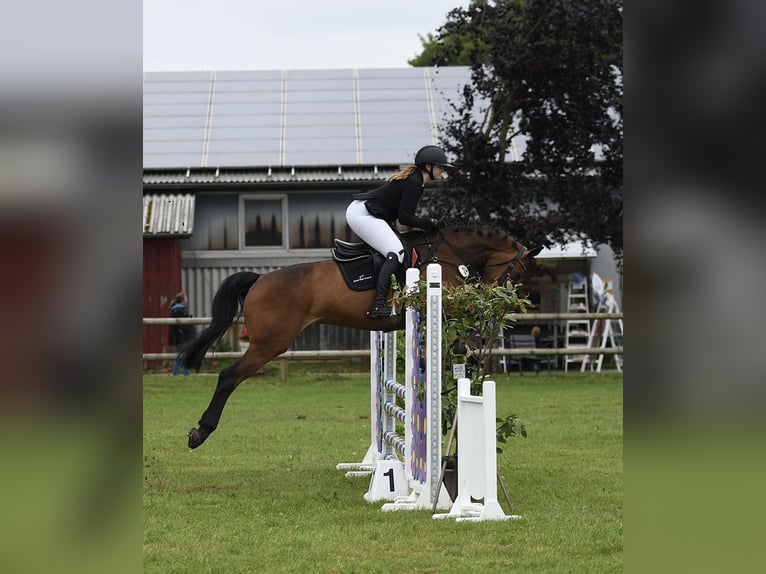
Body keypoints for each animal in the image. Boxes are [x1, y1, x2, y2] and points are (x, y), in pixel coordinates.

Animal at [183, 223, 544, 452]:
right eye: (518, 271)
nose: (506, 298)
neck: (448, 254)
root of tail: (259, 280)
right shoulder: (442, 304)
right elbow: (463, 327)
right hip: (269, 343)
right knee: (228, 376)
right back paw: (200, 432)